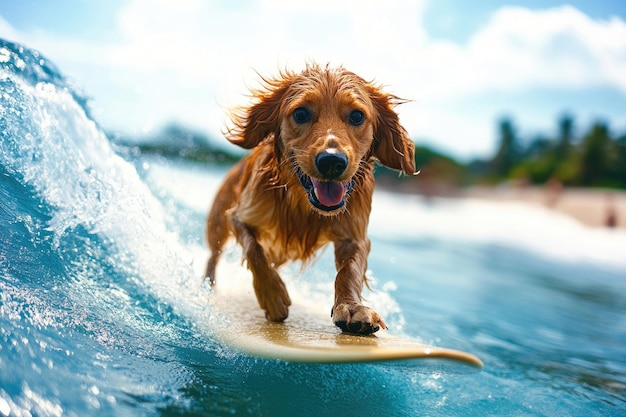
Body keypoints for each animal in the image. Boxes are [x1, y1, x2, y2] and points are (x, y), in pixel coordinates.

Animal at [205, 62, 414, 334]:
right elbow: (254, 249)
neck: (303, 205)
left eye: (357, 116)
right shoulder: (239, 216)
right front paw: (273, 297)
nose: (332, 161)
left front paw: (352, 308)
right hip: (217, 223)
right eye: (301, 113)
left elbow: (349, 271)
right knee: (214, 255)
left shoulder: (354, 236)